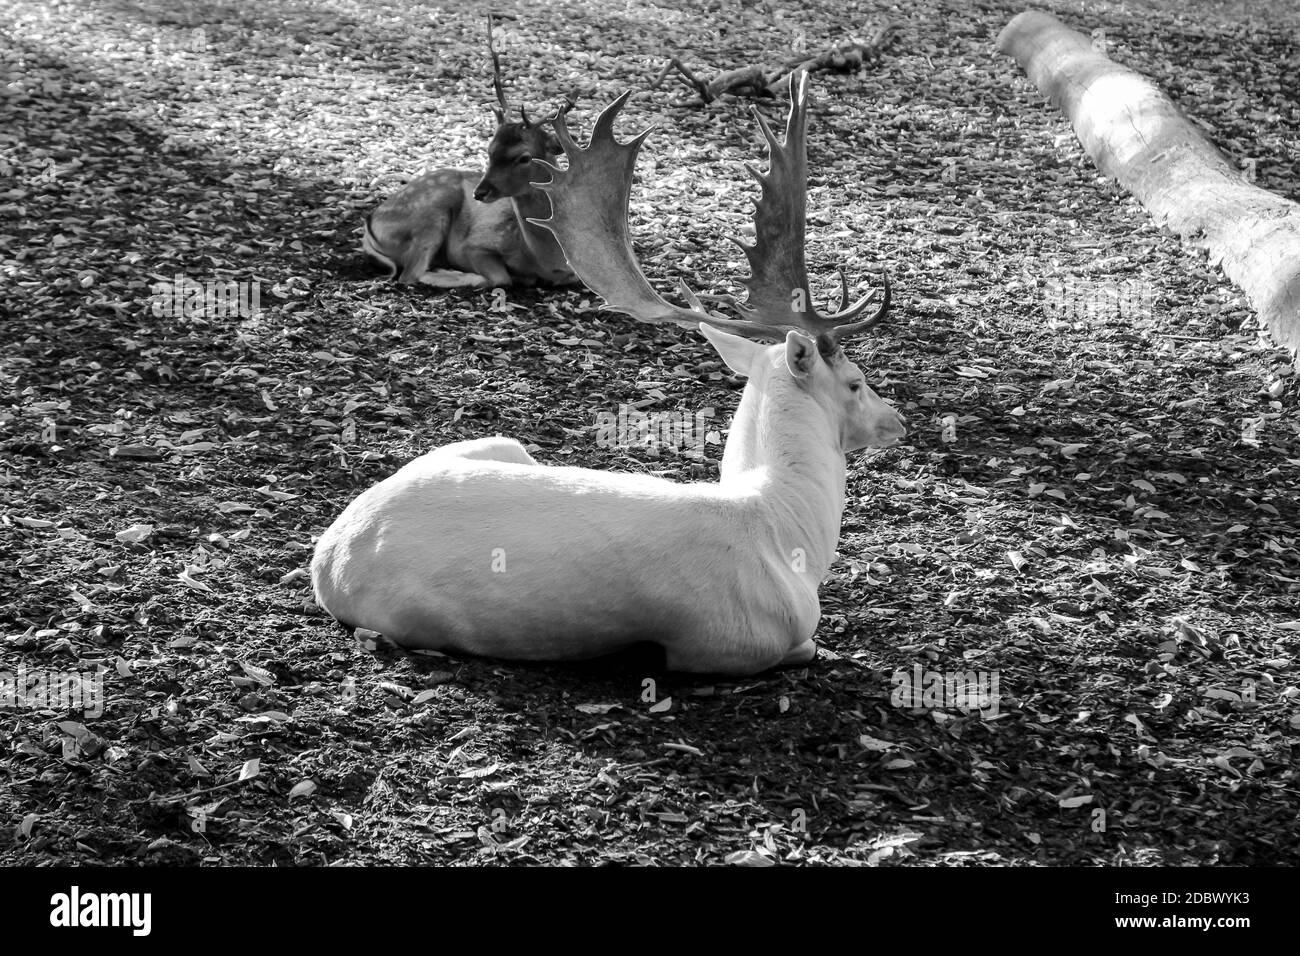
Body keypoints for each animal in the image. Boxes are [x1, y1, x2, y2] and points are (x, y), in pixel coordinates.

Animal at [313, 72, 904, 671]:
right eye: (856, 381)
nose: (897, 421)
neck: (784, 528)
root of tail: (326, 556)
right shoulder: (738, 643)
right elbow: (808, 646)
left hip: (499, 443)